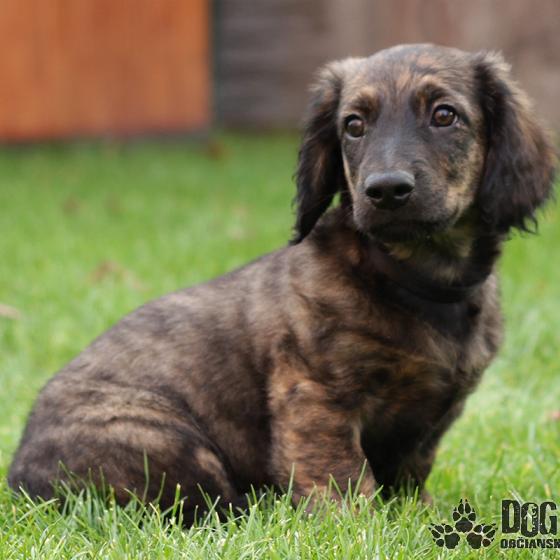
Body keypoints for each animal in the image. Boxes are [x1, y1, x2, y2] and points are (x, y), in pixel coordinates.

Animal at [8, 44, 556, 522]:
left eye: (445, 116)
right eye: (353, 126)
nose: (385, 191)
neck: (415, 280)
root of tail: (19, 481)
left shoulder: (430, 420)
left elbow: (409, 472)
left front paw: (419, 516)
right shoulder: (314, 395)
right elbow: (340, 473)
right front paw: (357, 526)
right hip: (163, 438)